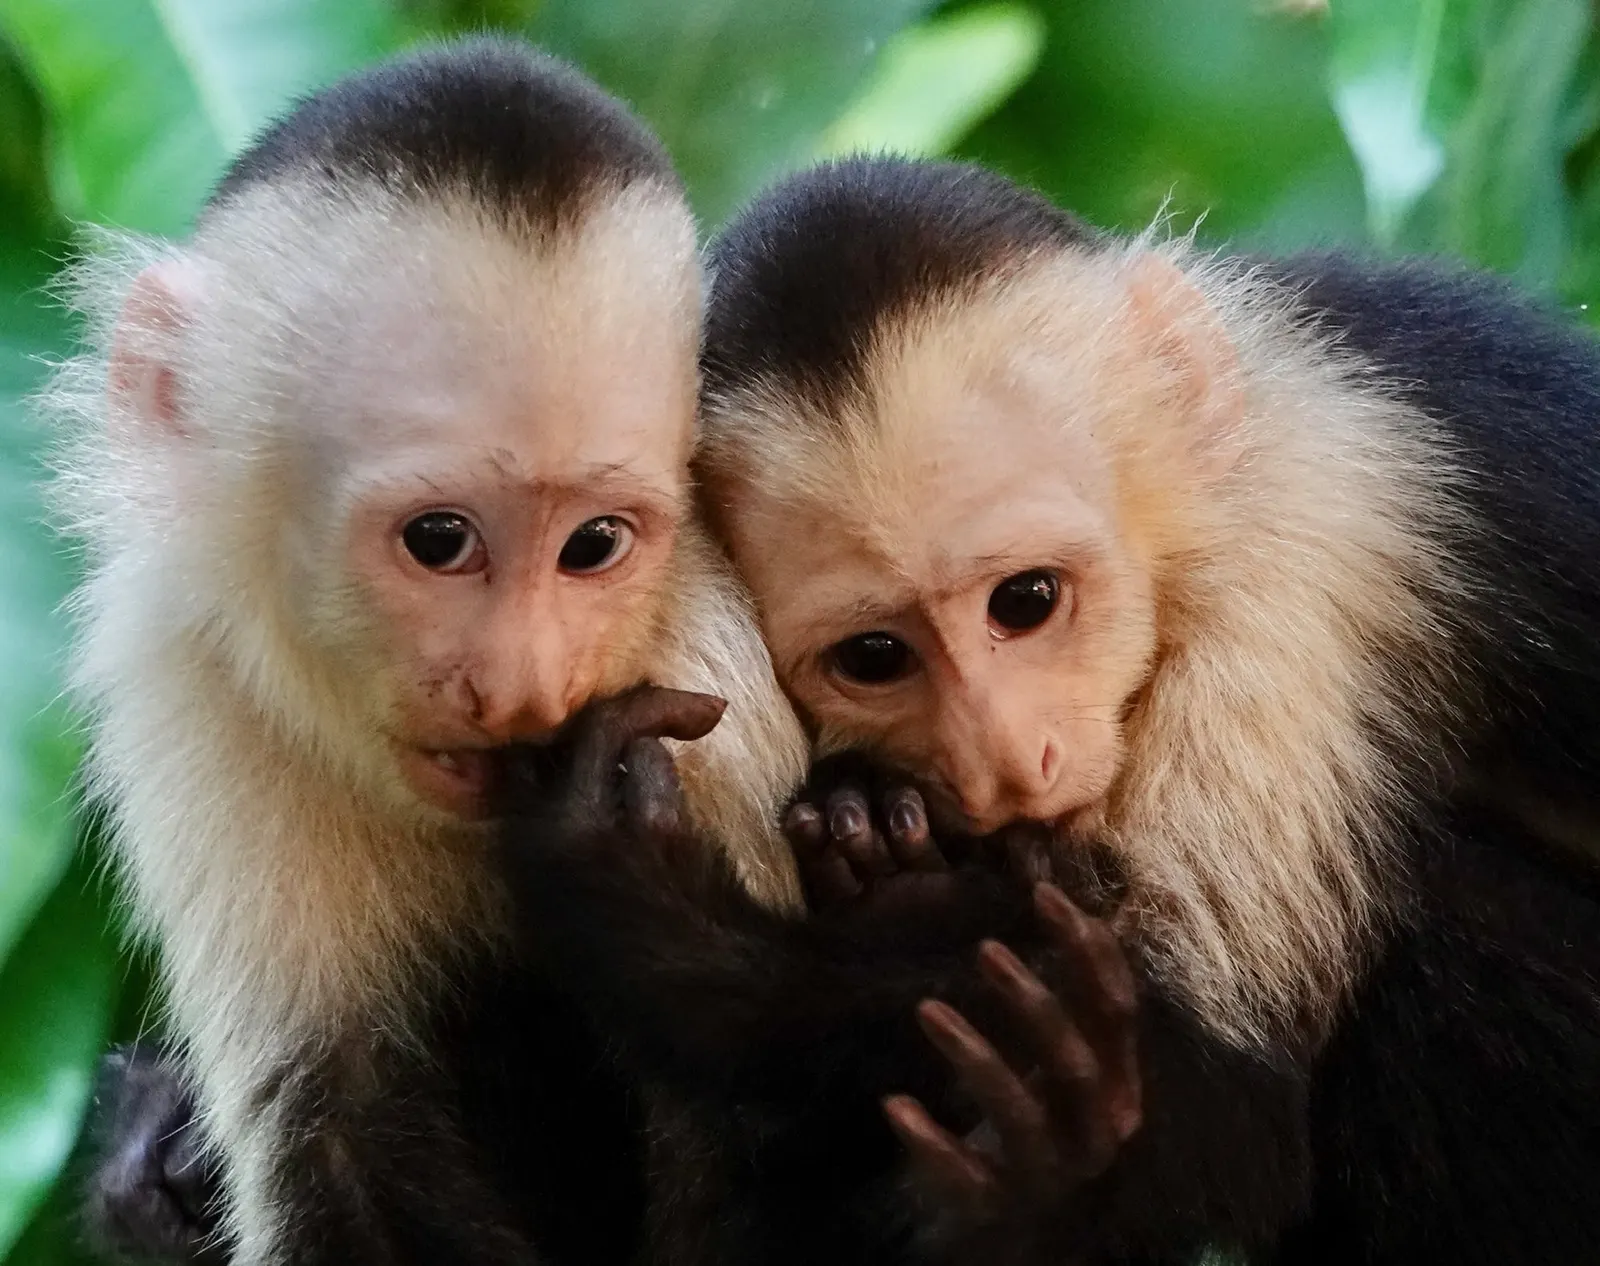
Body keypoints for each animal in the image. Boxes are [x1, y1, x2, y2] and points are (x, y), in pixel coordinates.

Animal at [42, 35, 812, 1266]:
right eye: (439, 540)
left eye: (594, 545)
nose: (522, 688)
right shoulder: (184, 674)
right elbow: (338, 1139)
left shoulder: (708, 685)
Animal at [673, 154, 1600, 1261]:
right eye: (874, 657)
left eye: (1026, 600)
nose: (1007, 762)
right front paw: (871, 833)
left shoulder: (1315, 539)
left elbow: (1222, 1097)